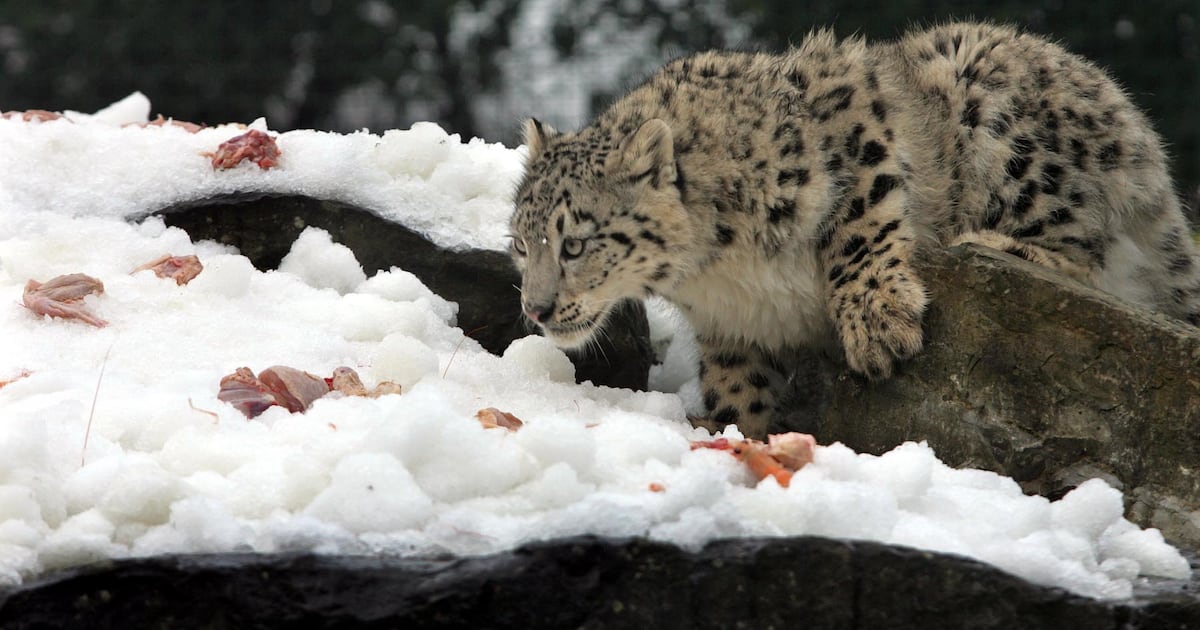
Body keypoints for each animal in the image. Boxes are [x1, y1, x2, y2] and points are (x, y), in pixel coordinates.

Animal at [508, 21, 1200, 439]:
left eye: (575, 243)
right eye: (520, 244)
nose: (536, 309)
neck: (717, 273)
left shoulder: (849, 114)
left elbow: (862, 219)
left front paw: (877, 324)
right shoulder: (733, 324)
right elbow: (738, 381)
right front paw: (747, 434)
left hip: (1010, 126)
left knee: (1086, 253)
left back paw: (994, 243)